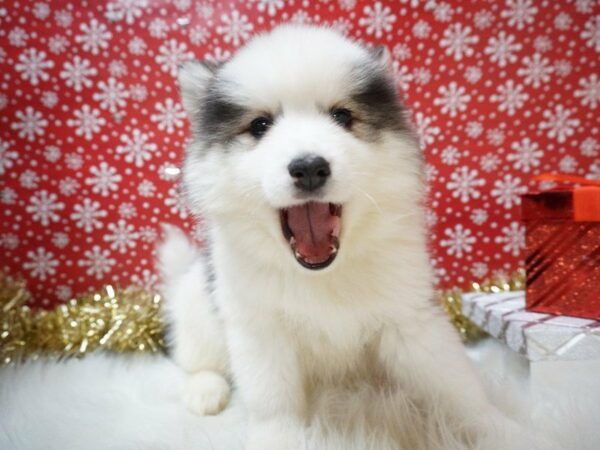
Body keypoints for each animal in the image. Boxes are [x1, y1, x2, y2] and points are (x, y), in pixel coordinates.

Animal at [162, 25, 524, 450]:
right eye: (260, 126)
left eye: (342, 116)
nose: (309, 167)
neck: (323, 273)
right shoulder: (260, 330)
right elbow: (273, 402)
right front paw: (278, 438)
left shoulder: (411, 318)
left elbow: (456, 388)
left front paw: (504, 430)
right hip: (196, 305)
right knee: (196, 359)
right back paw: (204, 390)